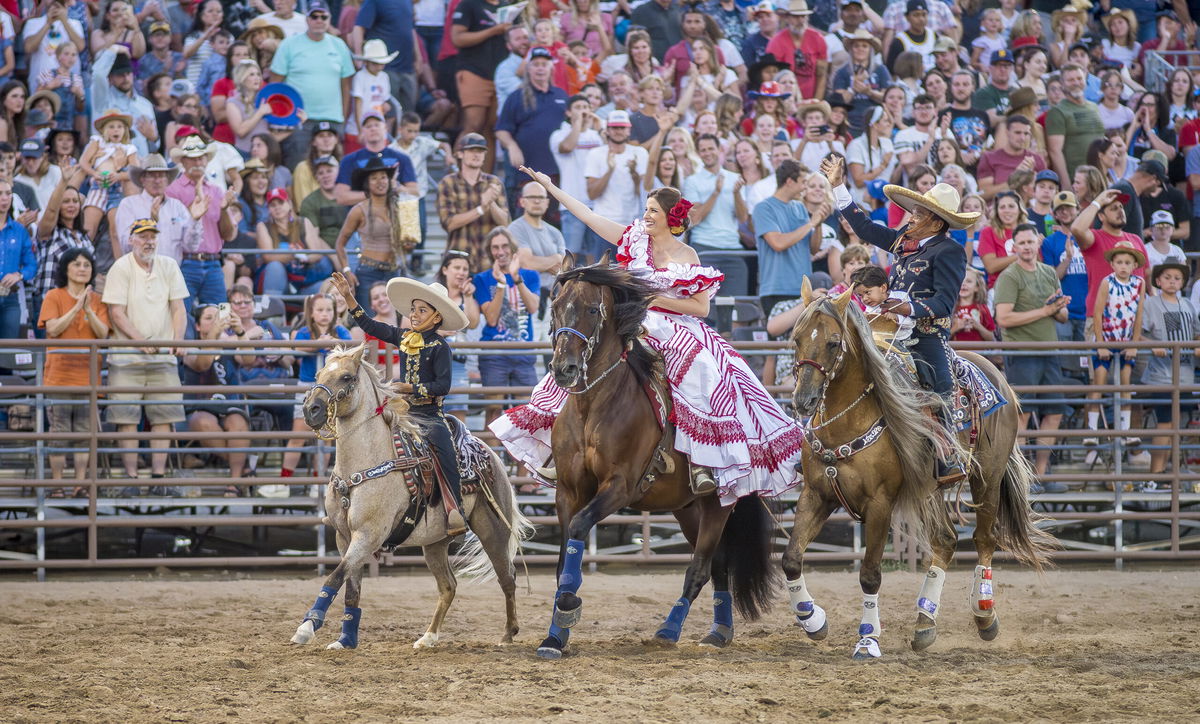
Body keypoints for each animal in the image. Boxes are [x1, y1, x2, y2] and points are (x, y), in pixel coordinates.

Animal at [288, 343, 532, 653]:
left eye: (346, 377)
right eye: (319, 374)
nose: (311, 410)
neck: (361, 466)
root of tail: (490, 454)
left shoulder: (368, 535)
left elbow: (335, 576)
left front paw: (307, 627)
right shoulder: (345, 537)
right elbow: (351, 588)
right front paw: (346, 639)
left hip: (493, 530)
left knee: (507, 578)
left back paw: (508, 634)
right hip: (435, 543)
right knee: (448, 586)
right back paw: (428, 636)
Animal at [535, 261, 777, 662]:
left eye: (592, 309)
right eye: (555, 307)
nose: (564, 368)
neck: (593, 407)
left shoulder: (619, 487)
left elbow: (581, 526)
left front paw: (569, 605)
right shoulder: (568, 490)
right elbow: (562, 557)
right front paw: (555, 635)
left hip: (718, 504)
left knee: (700, 568)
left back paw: (669, 630)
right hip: (688, 509)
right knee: (718, 563)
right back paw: (719, 632)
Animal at [782, 280, 1056, 657]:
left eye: (833, 342)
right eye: (796, 338)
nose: (804, 400)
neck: (848, 419)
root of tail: (993, 372)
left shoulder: (880, 504)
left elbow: (870, 573)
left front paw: (868, 638)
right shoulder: (816, 495)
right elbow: (791, 558)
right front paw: (812, 620)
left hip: (987, 477)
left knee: (984, 539)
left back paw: (984, 614)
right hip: (930, 489)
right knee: (946, 541)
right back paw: (925, 622)